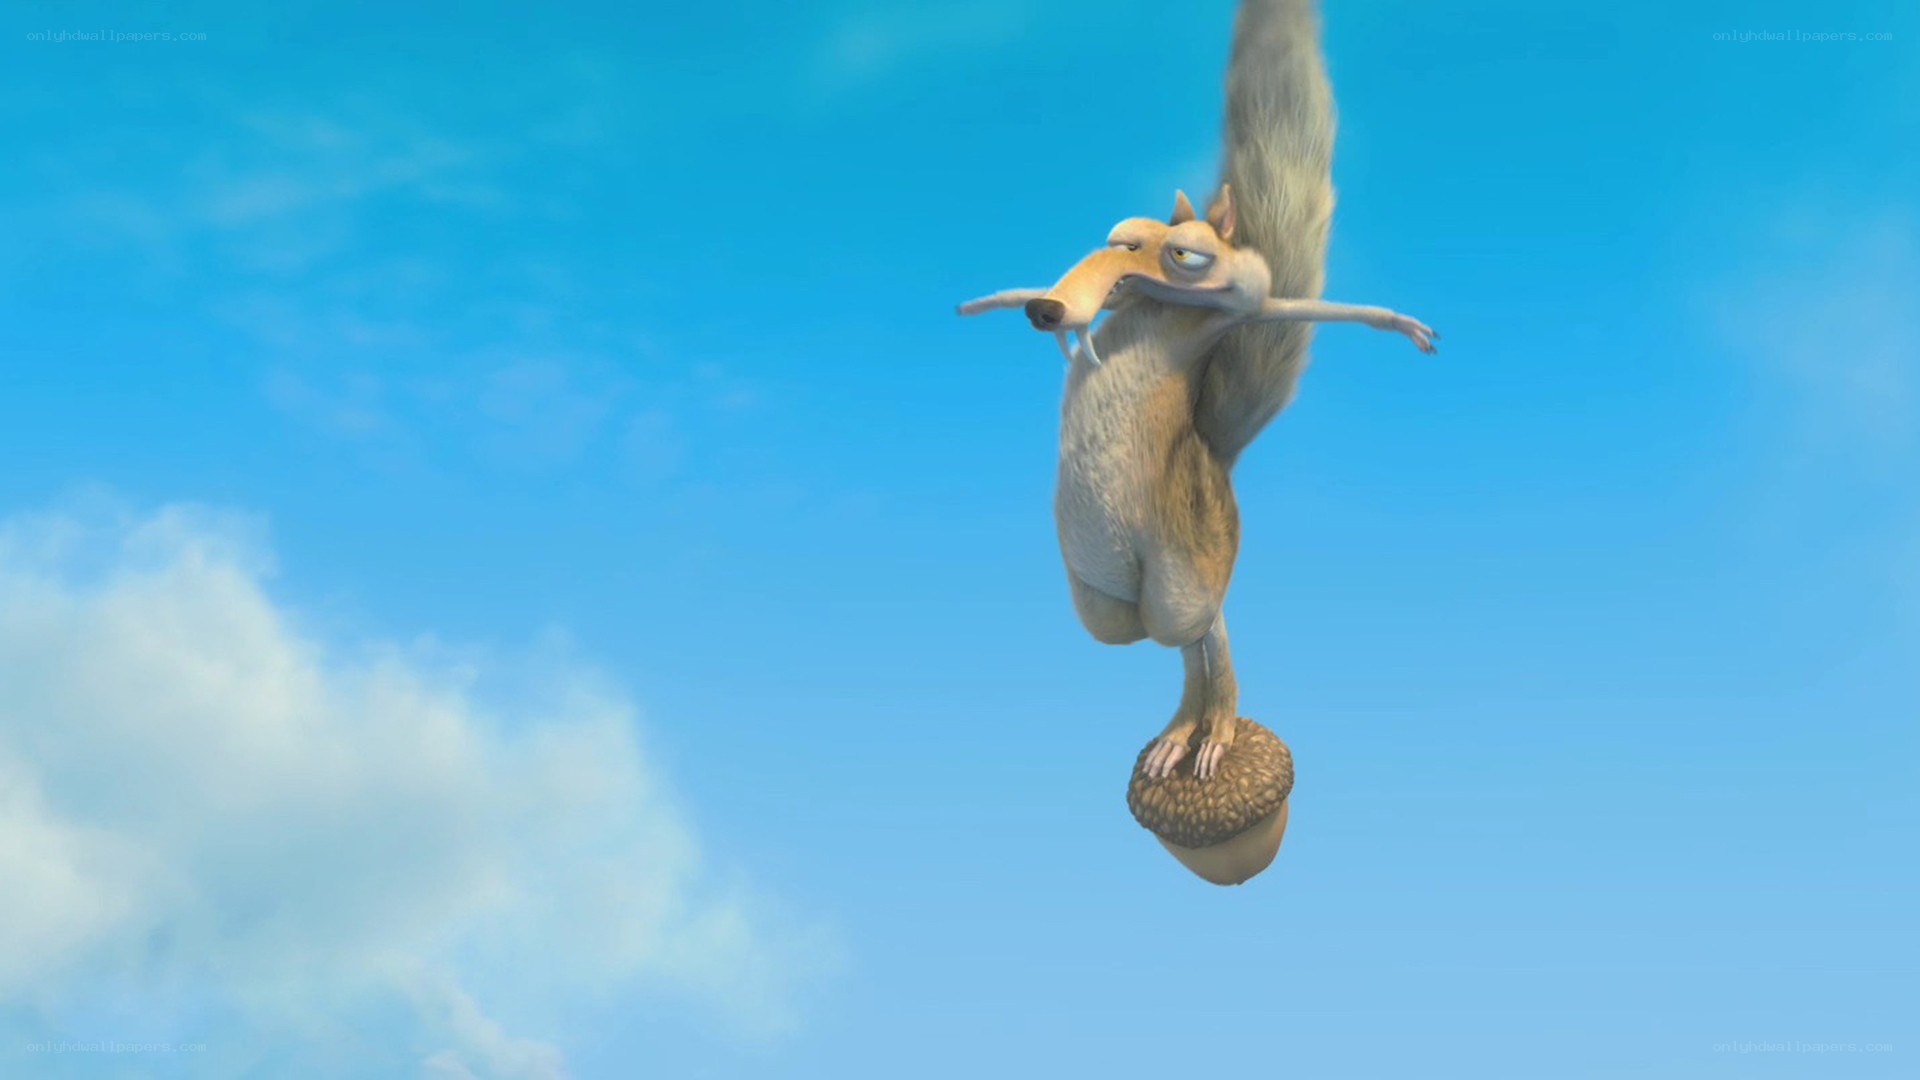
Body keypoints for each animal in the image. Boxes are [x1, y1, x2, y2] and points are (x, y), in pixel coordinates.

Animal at [958, 0, 1435, 780]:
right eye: (1116, 237)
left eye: (1186, 254)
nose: (1051, 311)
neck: (1167, 312)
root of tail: (1217, 461)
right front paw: (998, 300)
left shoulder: (1248, 310)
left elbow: (1298, 308)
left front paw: (1398, 323)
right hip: (1103, 596)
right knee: (1163, 636)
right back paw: (1180, 732)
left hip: (1185, 559)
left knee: (1200, 625)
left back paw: (1213, 730)